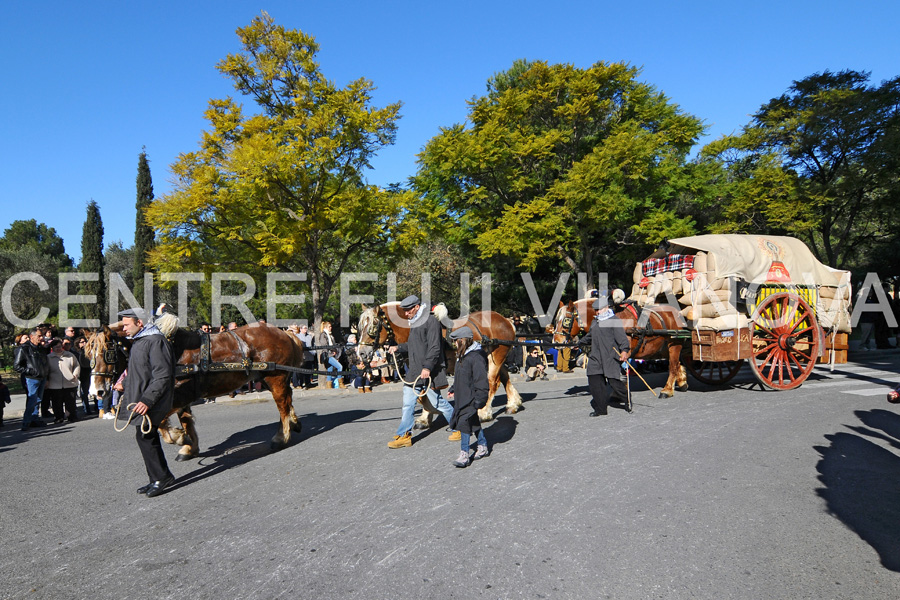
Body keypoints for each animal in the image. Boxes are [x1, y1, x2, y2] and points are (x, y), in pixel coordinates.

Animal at [85, 318, 310, 460]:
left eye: (107, 353)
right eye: (88, 355)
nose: (96, 392)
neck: (171, 350)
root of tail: (285, 333)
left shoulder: (177, 395)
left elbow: (161, 422)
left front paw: (178, 438)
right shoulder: (182, 396)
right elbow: (185, 420)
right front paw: (188, 447)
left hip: (275, 377)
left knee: (282, 404)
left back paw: (281, 437)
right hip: (268, 377)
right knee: (288, 398)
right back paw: (295, 423)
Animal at [358, 300, 524, 422]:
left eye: (374, 325)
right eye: (361, 327)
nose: (361, 352)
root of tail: (505, 320)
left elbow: (425, 393)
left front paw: (431, 413)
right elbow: (422, 395)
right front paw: (425, 417)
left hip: (497, 355)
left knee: (492, 381)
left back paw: (484, 412)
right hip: (495, 356)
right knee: (504, 377)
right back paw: (512, 404)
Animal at [548, 296, 688, 398]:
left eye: (566, 320)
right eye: (555, 320)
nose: (556, 341)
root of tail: (677, 312)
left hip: (674, 344)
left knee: (673, 365)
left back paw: (667, 390)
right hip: (663, 347)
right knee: (677, 363)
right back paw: (682, 382)